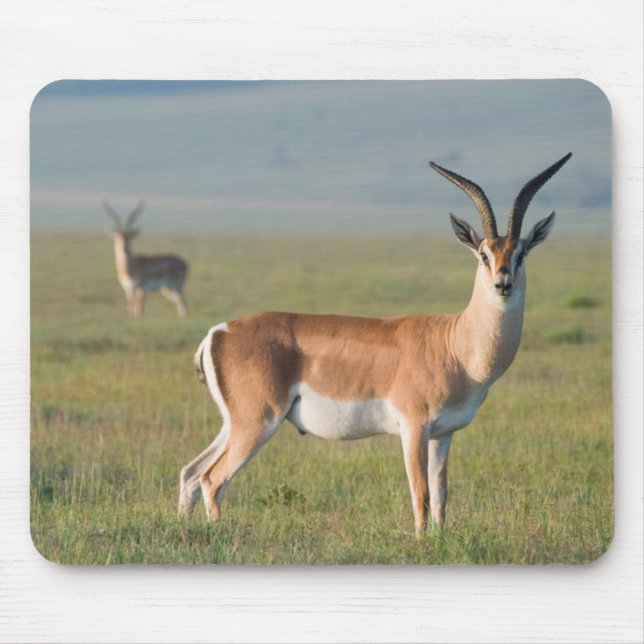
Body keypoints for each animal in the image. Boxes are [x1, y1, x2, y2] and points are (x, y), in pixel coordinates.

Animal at [179, 153, 572, 535]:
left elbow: (441, 496)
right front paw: (421, 543)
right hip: (258, 421)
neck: (455, 345)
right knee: (213, 478)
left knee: (191, 473)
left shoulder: (443, 434)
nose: (502, 284)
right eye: (483, 254)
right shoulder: (413, 426)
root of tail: (220, 331)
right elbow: (420, 494)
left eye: (521, 253)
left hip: (234, 423)